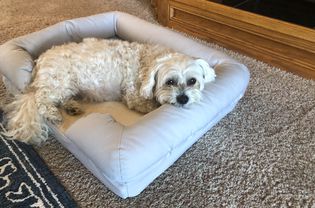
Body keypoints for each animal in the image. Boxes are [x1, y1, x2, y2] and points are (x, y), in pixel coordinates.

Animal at [4, 38, 217, 144]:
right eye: (170, 82)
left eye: (192, 81)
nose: (183, 98)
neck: (147, 63)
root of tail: (39, 61)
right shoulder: (133, 96)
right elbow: (148, 104)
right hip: (60, 81)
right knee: (41, 100)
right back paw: (53, 113)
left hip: (68, 86)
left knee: (61, 98)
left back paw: (72, 107)